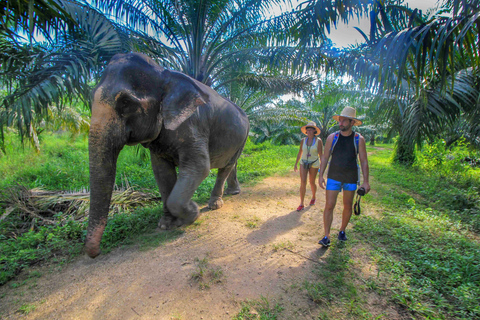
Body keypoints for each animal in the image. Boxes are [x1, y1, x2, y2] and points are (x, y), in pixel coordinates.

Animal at [86, 52, 249, 258]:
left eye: (125, 102)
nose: (96, 252)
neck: (164, 73)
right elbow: (161, 172)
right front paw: (165, 224)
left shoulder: (193, 124)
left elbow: (199, 167)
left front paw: (192, 212)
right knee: (231, 164)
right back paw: (232, 192)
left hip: (243, 137)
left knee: (226, 166)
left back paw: (214, 204)